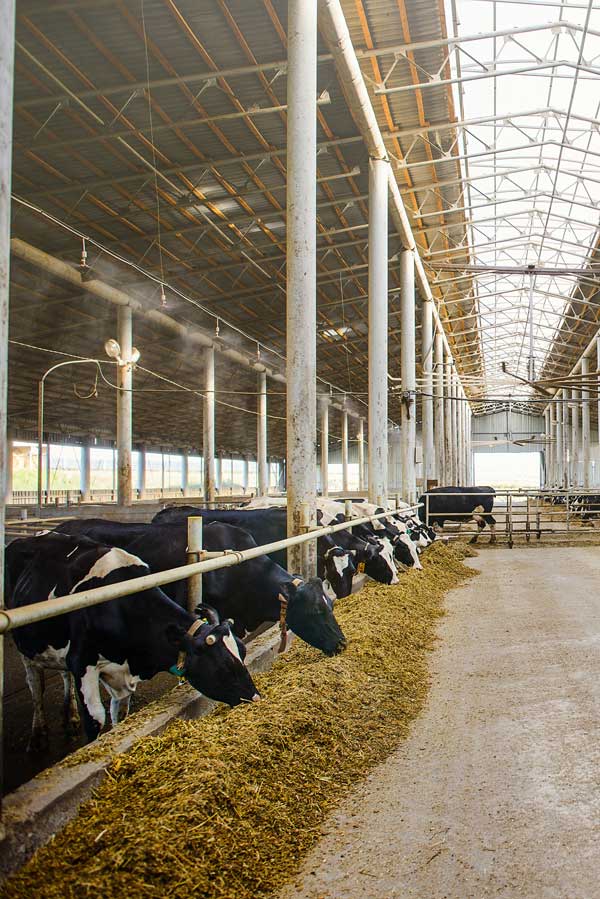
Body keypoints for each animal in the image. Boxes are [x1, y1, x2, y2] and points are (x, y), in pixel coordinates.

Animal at [5, 536, 260, 744]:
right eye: (223, 667)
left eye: (243, 652)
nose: (255, 697)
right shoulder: (81, 662)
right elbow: (96, 719)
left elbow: (119, 714)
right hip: (24, 644)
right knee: (35, 683)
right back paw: (38, 732)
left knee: (63, 674)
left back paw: (70, 717)